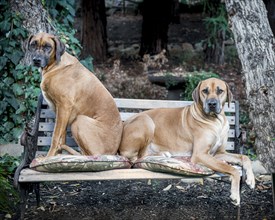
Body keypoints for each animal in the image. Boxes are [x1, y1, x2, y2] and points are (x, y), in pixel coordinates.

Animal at [119, 78, 258, 205]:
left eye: (220, 91)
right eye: (205, 91)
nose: (212, 104)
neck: (216, 121)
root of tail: (124, 124)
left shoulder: (219, 153)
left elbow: (244, 157)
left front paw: (251, 179)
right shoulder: (200, 154)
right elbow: (231, 168)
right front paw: (235, 195)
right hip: (146, 120)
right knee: (138, 157)